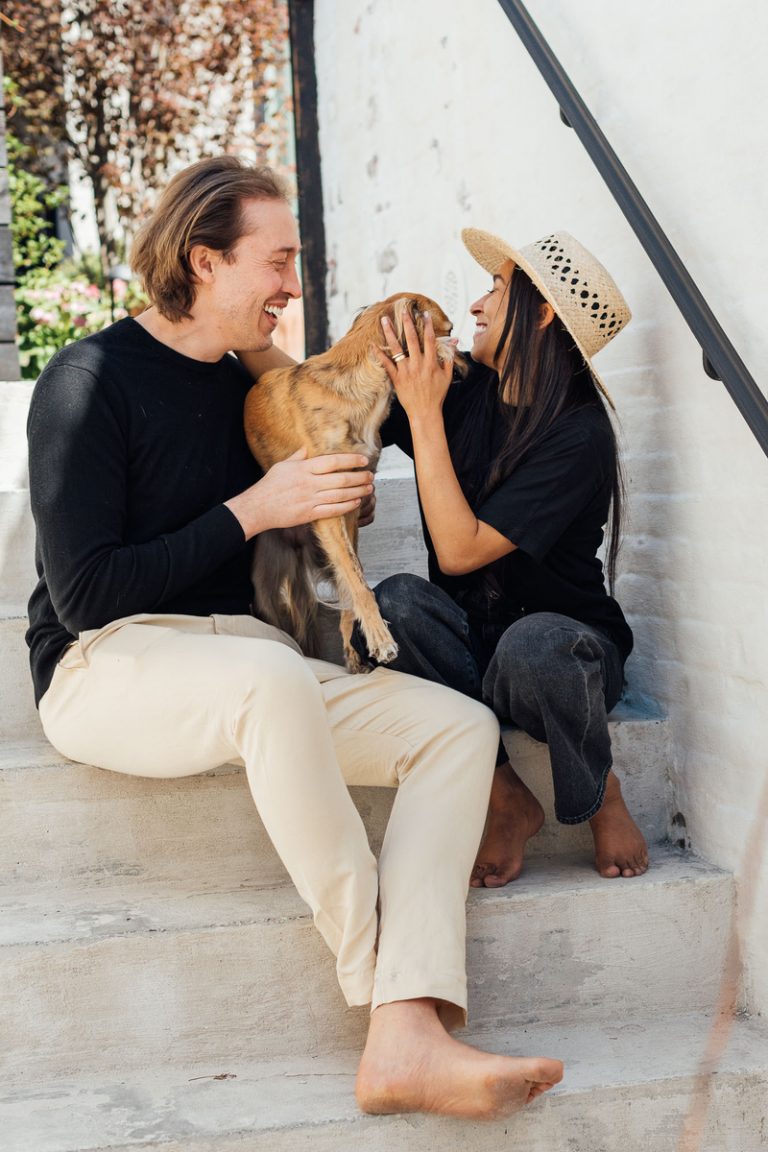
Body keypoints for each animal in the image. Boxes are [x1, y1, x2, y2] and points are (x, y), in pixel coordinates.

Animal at [245, 297, 462, 672]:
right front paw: (381, 639)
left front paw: (357, 643)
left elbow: (354, 579)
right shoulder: (330, 504)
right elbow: (358, 582)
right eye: (446, 331)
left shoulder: (351, 503)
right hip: (271, 592)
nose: (464, 362)